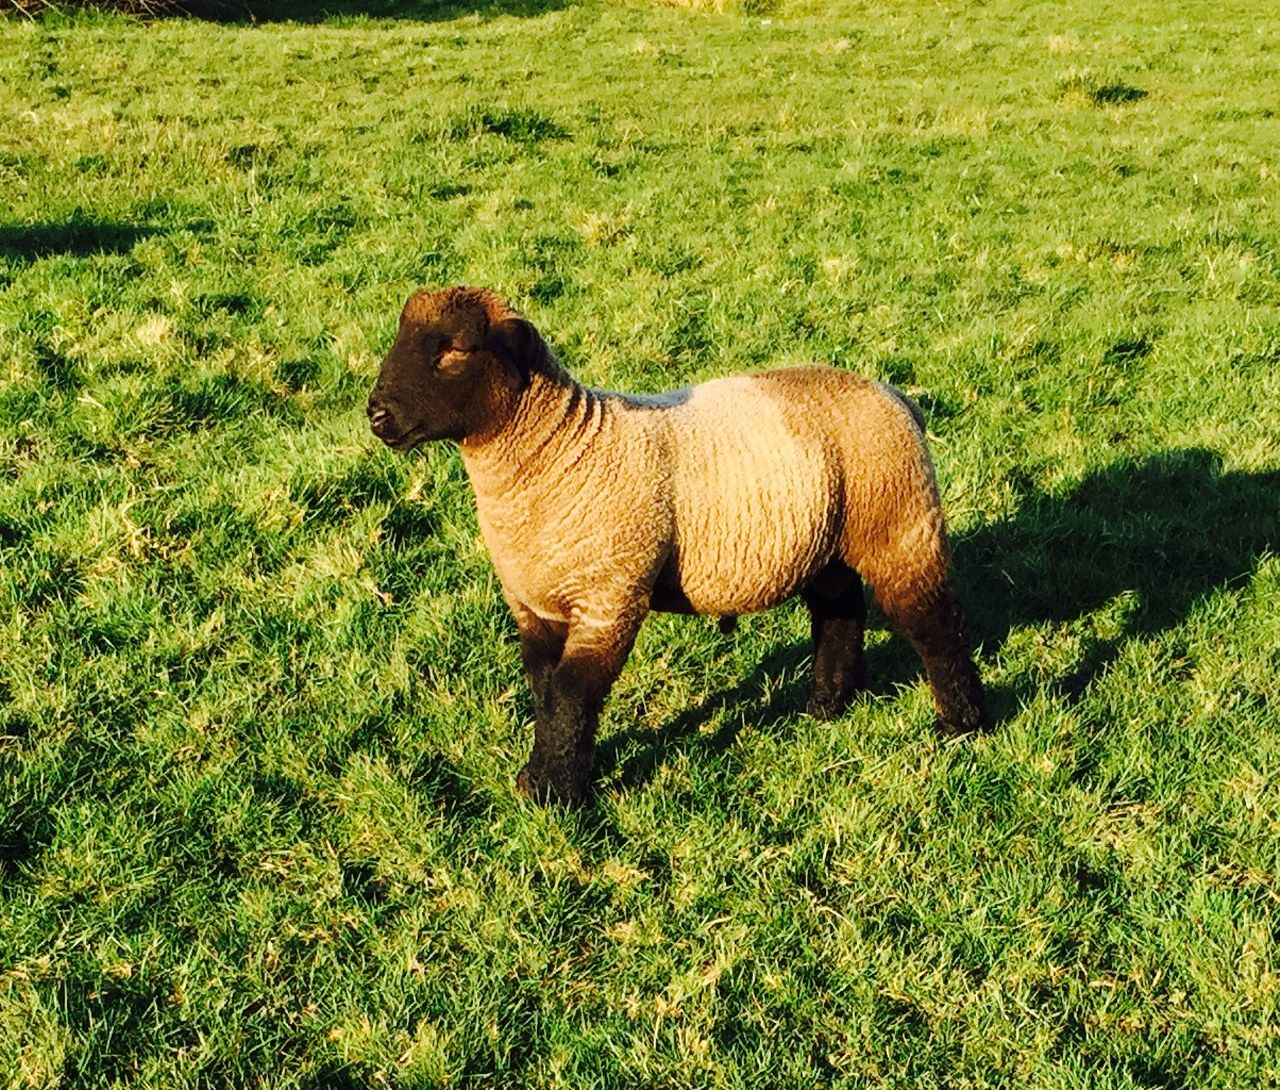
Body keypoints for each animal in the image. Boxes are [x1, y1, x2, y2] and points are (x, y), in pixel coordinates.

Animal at [367, 286, 987, 804]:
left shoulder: (610, 594)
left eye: (455, 349)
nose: (377, 415)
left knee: (936, 621)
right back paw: (825, 707)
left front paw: (556, 796)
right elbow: (545, 691)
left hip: (900, 522)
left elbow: (571, 693)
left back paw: (960, 723)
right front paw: (539, 777)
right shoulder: (534, 601)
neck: (561, 448)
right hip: (826, 540)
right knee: (840, 612)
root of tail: (895, 395)